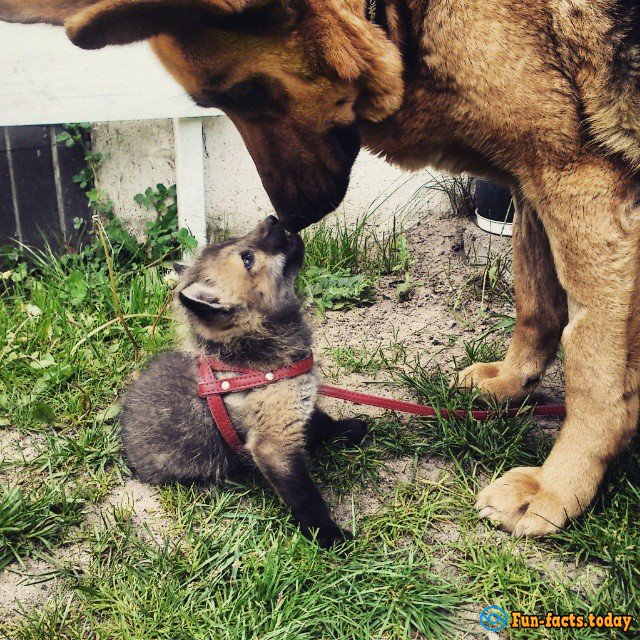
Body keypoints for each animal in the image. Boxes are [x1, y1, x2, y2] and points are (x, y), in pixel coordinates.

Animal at [120, 218, 368, 548]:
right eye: (247, 258)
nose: (273, 219)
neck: (257, 361)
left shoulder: (295, 410)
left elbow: (321, 422)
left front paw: (348, 430)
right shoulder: (273, 444)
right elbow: (306, 499)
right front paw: (329, 536)